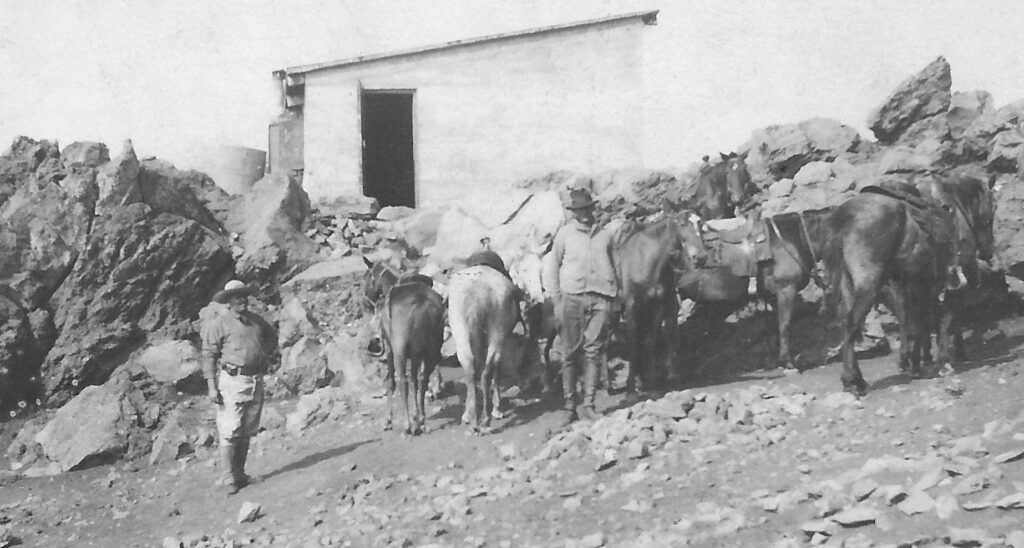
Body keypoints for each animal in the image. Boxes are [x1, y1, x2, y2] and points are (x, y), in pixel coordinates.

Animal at [819, 190, 962, 397]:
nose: (955, 276)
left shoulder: (909, 285)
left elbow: (913, 320)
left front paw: (914, 362)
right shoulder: (924, 284)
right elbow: (923, 321)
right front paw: (924, 363)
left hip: (848, 284)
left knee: (847, 321)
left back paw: (857, 379)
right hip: (868, 285)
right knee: (852, 323)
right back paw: (853, 381)